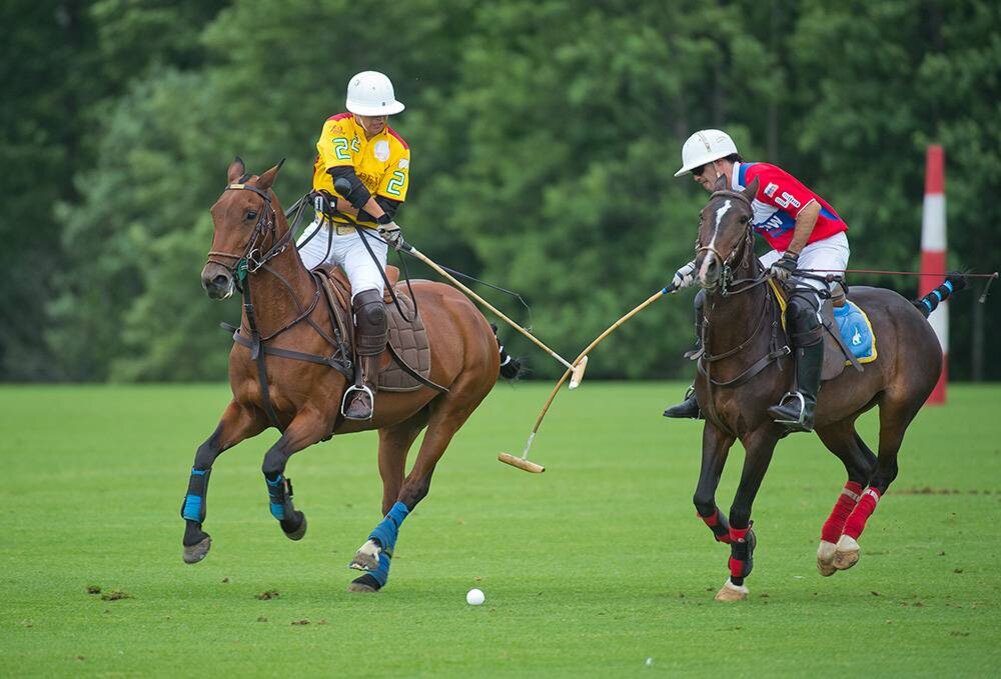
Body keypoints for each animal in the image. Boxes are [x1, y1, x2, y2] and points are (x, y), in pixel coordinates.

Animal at [178, 158, 516, 588]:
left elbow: (272, 460)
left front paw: (292, 519)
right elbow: (205, 451)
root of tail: (475, 313)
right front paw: (194, 537)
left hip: (455, 407)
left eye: (250, 214)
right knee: (393, 490)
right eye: (215, 212)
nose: (214, 280)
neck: (272, 328)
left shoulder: (316, 418)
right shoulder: (248, 410)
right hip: (400, 422)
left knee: (415, 485)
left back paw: (368, 552)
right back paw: (374, 572)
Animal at [688, 174, 960, 600]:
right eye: (703, 214)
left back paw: (847, 543)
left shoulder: (761, 435)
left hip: (899, 406)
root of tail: (915, 308)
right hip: (834, 420)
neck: (739, 339)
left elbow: (740, 506)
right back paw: (831, 549)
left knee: (884, 469)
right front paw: (742, 545)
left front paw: (737, 576)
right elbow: (703, 498)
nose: (707, 267)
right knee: (861, 465)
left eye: (744, 219)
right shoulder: (716, 427)